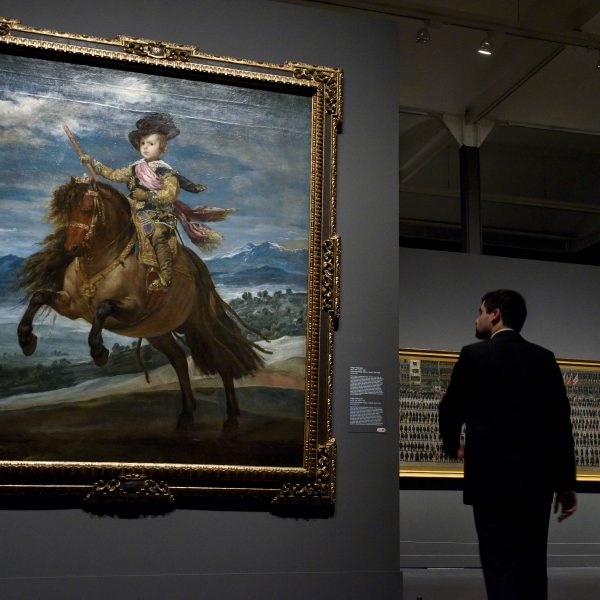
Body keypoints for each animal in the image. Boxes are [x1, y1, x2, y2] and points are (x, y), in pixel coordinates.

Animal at [17, 178, 265, 434]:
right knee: (179, 360)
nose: (70, 249)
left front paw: (99, 352)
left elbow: (103, 308)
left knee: (222, 357)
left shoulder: (131, 310)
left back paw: (231, 419)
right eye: (66, 210)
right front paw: (26, 340)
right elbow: (38, 297)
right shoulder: (72, 306)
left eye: (86, 209)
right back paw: (187, 414)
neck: (102, 261)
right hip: (158, 332)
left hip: (197, 323)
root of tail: (199, 270)